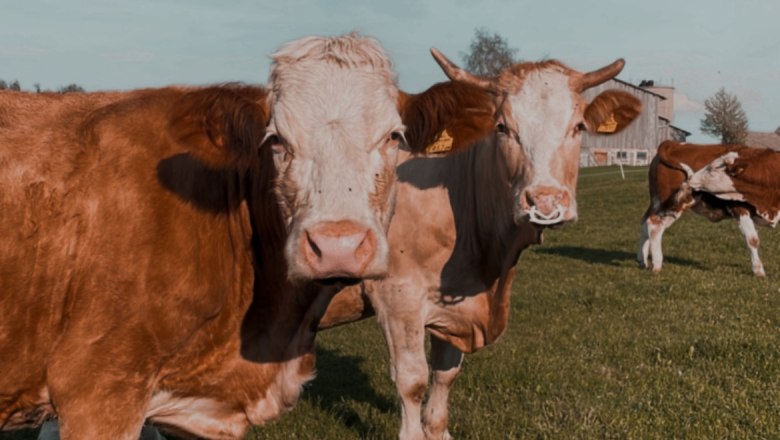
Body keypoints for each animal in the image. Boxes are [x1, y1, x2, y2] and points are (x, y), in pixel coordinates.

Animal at [316, 49, 640, 440]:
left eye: (578, 126)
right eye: (502, 128)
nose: (546, 201)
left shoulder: (451, 306)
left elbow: (444, 379)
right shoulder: (397, 298)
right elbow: (412, 380)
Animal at [640, 139, 780, 276]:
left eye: (713, 169)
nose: (691, 178)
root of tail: (673, 143)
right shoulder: (739, 208)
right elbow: (752, 239)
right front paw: (758, 271)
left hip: (659, 202)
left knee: (646, 223)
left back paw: (642, 261)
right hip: (671, 203)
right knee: (654, 224)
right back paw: (657, 265)